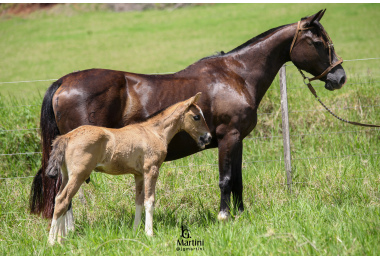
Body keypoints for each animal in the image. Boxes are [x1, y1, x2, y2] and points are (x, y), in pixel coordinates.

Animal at [29, 10, 344, 221]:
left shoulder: (237, 140)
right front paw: (223, 217)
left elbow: (238, 180)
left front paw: (241, 215)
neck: (235, 75)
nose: (339, 77)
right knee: (64, 193)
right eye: (318, 43)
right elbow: (226, 179)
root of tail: (63, 82)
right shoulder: (228, 137)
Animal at [46, 92, 211, 245]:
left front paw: (136, 230)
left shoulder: (139, 175)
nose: (208, 137)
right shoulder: (151, 170)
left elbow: (138, 201)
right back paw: (52, 242)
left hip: (66, 175)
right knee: (63, 200)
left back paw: (61, 239)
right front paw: (149, 233)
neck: (154, 133)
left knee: (59, 199)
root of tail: (67, 137)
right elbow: (149, 201)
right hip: (79, 175)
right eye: (196, 117)